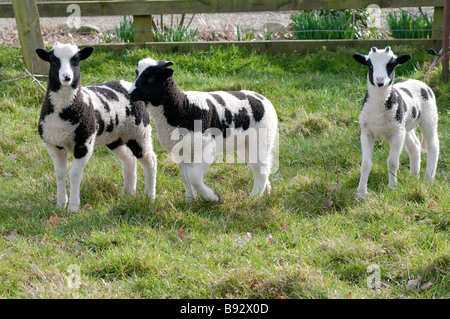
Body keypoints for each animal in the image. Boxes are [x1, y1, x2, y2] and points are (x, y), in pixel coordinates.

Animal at [34, 42, 156, 212]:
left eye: (76, 61)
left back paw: (149, 196)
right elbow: (59, 173)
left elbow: (75, 174)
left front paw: (73, 207)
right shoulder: (53, 144)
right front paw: (60, 204)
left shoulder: (84, 144)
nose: (67, 77)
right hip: (115, 136)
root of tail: (128, 84)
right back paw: (129, 194)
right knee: (129, 160)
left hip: (139, 131)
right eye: (53, 61)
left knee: (150, 160)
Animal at [127, 57, 278, 202]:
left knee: (262, 169)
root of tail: (262, 98)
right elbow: (186, 176)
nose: (129, 94)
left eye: (151, 77)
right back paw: (266, 193)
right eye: (136, 73)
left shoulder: (206, 146)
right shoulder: (181, 151)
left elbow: (193, 176)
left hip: (261, 140)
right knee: (261, 167)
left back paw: (254, 198)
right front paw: (190, 201)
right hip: (245, 145)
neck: (182, 107)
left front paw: (212, 197)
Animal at [354, 46, 438, 199]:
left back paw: (428, 179)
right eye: (370, 65)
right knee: (415, 145)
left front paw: (392, 188)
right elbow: (365, 164)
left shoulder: (397, 133)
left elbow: (392, 162)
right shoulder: (366, 132)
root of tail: (418, 81)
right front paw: (361, 193)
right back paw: (414, 176)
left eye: (391, 65)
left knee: (432, 146)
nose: (379, 80)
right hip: (406, 126)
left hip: (429, 117)